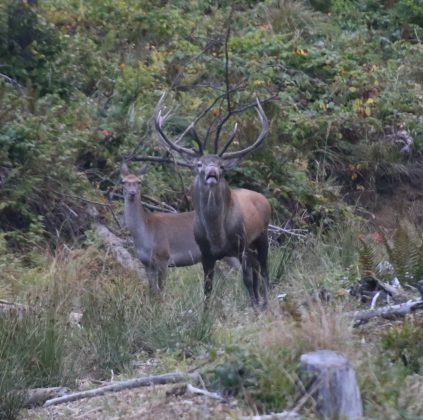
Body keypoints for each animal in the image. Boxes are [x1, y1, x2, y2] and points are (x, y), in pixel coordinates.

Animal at [155, 99, 272, 308]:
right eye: (199, 164)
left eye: (221, 166)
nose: (212, 172)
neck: (217, 236)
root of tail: (263, 198)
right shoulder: (205, 253)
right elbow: (207, 288)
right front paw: (206, 312)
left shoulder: (241, 244)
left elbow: (247, 280)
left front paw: (254, 306)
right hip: (251, 245)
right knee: (257, 269)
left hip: (261, 235)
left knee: (264, 270)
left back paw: (265, 301)